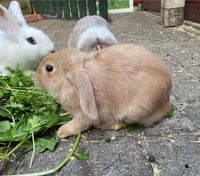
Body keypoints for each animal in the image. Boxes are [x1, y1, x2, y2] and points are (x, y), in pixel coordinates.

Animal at [34, 44, 172, 139]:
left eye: (49, 68)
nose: (35, 80)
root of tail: (165, 103)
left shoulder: (83, 114)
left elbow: (78, 124)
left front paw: (61, 132)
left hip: (136, 110)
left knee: (125, 122)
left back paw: (107, 125)